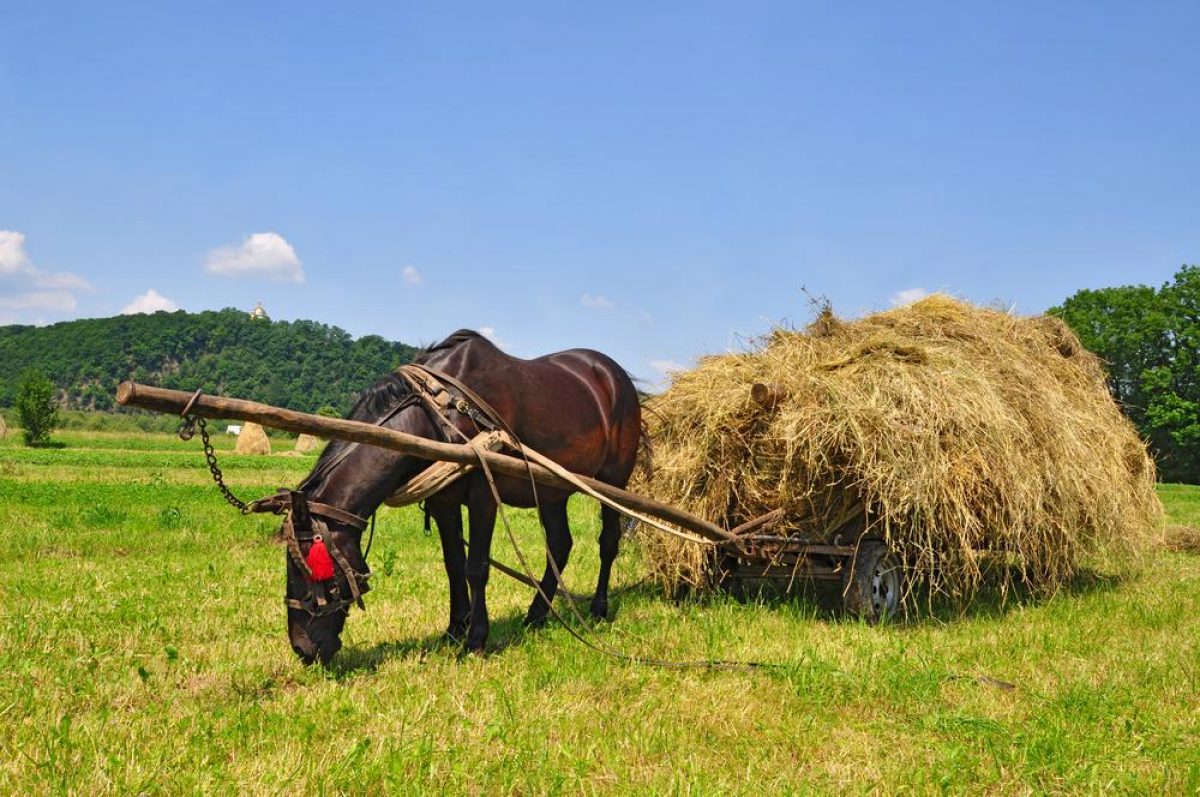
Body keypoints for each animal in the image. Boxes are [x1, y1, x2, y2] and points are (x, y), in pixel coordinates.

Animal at [282, 326, 648, 662]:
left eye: (309, 569)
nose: (302, 649)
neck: (440, 412)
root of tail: (614, 374)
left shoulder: (484, 496)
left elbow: (476, 567)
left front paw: (476, 639)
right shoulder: (443, 500)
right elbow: (454, 564)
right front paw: (454, 629)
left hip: (615, 478)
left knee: (608, 542)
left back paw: (599, 608)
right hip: (551, 488)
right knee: (559, 545)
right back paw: (536, 615)